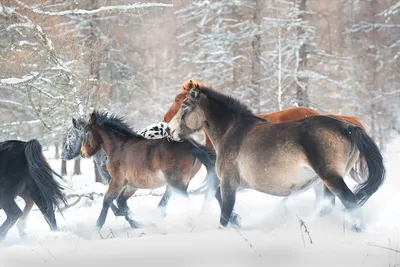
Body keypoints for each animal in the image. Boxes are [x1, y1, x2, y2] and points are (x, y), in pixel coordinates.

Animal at [168, 85, 384, 230]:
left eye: (184, 105)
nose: (170, 130)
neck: (231, 131)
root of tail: (348, 127)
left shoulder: (229, 183)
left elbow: (224, 214)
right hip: (325, 182)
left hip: (331, 178)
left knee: (350, 202)